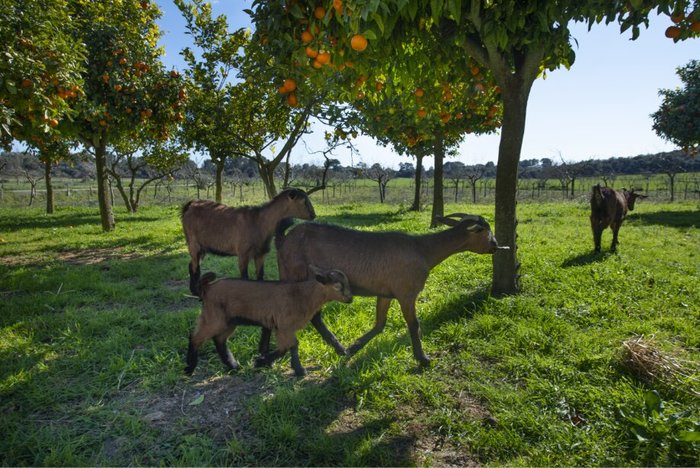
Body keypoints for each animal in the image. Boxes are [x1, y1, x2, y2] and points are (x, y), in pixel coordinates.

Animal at [180, 188, 314, 294]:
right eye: (303, 201)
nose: (313, 215)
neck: (259, 221)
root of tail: (190, 204)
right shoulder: (243, 253)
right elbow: (244, 277)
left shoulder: (260, 253)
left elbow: (260, 275)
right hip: (193, 243)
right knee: (195, 267)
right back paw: (196, 292)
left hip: (202, 246)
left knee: (191, 265)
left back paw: (194, 290)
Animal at [185, 266, 352, 376]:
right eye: (338, 286)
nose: (350, 298)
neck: (303, 295)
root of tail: (207, 288)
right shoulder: (284, 325)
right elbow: (290, 346)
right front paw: (295, 369)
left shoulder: (283, 327)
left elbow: (290, 346)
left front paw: (265, 362)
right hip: (214, 317)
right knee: (195, 337)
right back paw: (189, 368)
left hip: (228, 321)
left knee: (219, 340)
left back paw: (233, 366)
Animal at [270, 214, 506, 368]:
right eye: (486, 231)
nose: (496, 245)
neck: (423, 250)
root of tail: (283, 240)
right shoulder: (407, 292)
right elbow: (413, 325)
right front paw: (423, 359)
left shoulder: (385, 293)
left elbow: (379, 324)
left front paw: (354, 348)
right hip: (296, 275)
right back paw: (313, 358)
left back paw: (338, 349)